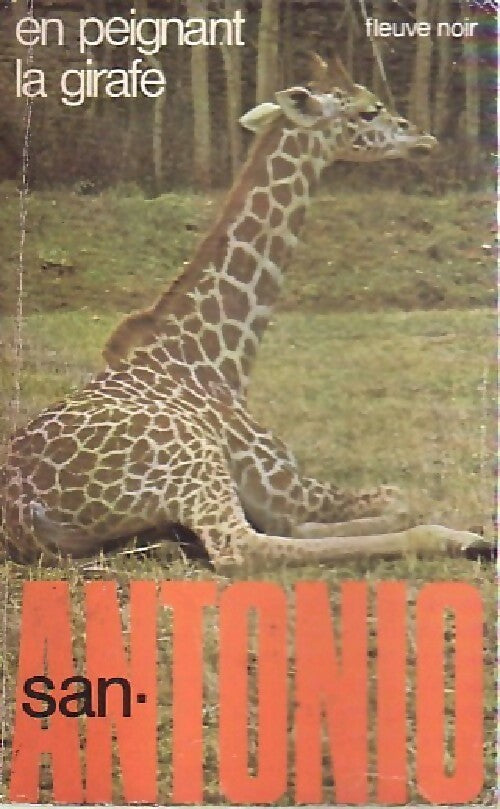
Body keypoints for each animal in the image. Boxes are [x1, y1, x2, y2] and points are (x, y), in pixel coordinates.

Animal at [1, 57, 486, 572]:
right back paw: (461, 538)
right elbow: (395, 500)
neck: (221, 357)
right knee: (241, 548)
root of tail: (24, 515)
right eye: (369, 110)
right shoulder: (285, 486)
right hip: (192, 461)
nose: (424, 138)